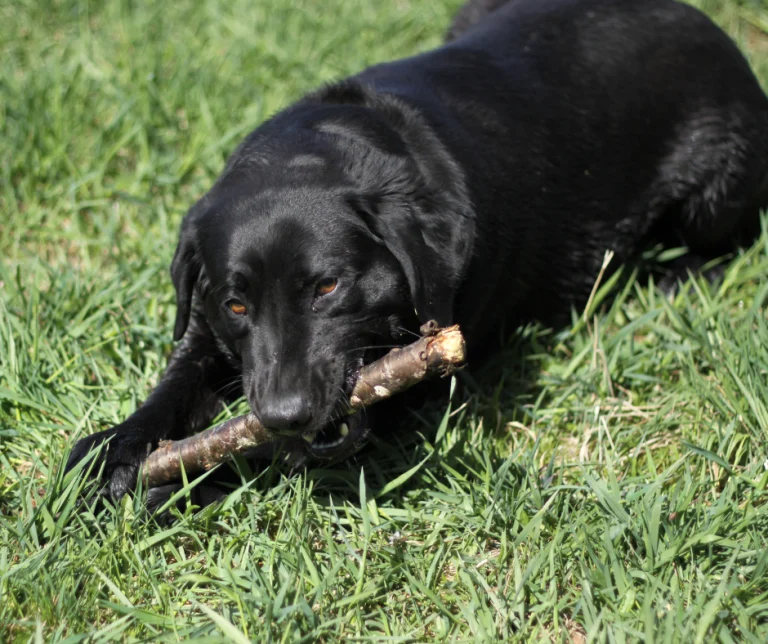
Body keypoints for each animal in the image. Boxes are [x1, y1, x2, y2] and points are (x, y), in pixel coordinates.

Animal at [66, 0, 768, 504]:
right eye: (236, 305)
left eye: (328, 288)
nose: (285, 412)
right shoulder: (206, 329)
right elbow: (172, 386)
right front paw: (109, 452)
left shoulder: (408, 387)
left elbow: (259, 452)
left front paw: (173, 483)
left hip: (717, 182)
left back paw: (670, 277)